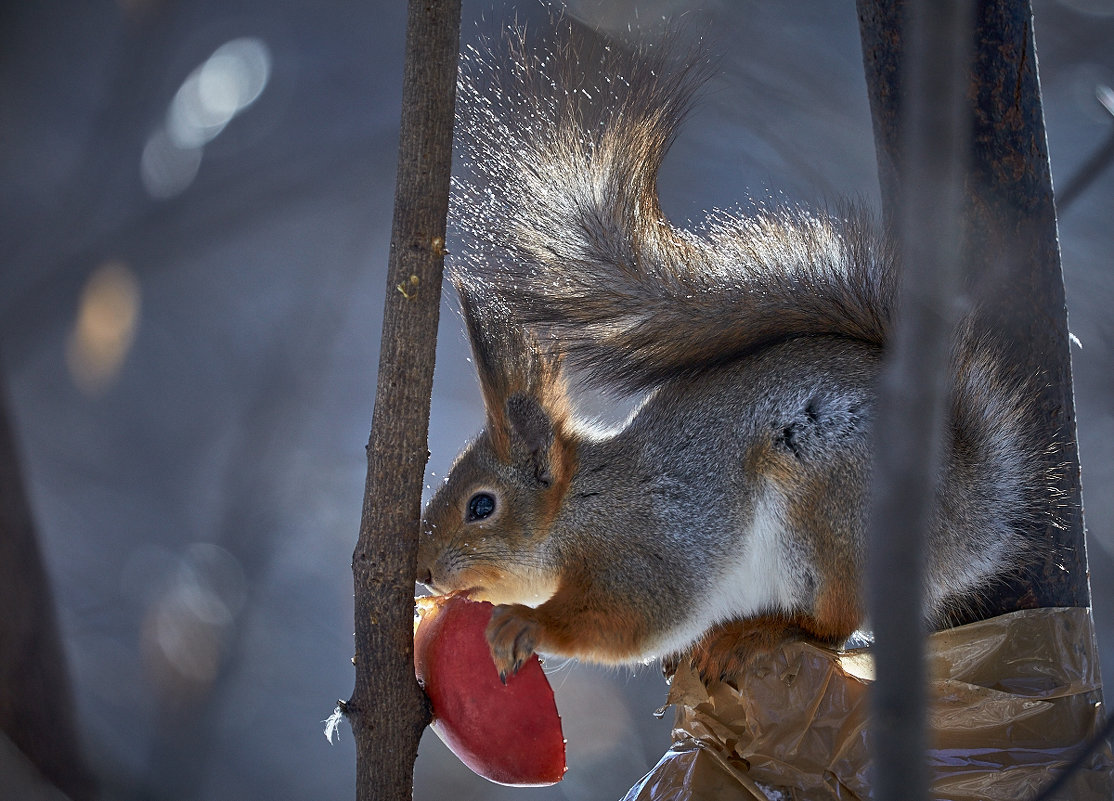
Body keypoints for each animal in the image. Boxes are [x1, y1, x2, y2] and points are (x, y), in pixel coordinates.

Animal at [414, 22, 1047, 681]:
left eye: (481, 506)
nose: (423, 572)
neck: (579, 507)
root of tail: (966, 521)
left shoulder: (644, 549)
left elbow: (630, 620)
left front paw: (526, 621)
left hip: (837, 510)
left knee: (833, 625)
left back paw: (758, 632)